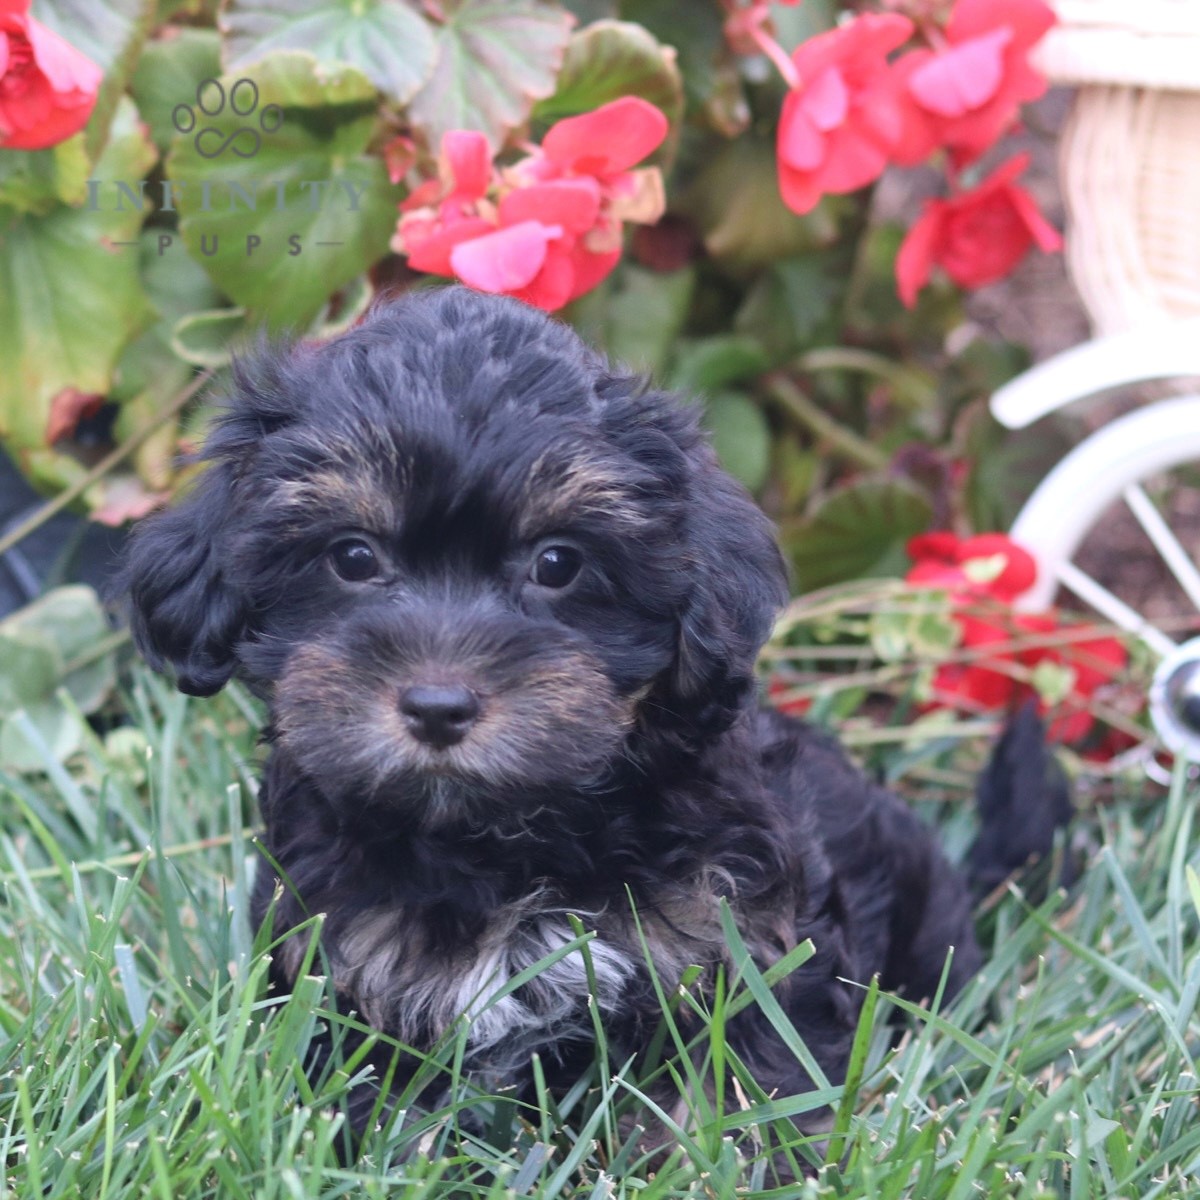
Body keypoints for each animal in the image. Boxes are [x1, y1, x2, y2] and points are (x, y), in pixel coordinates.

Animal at [119, 290, 1060, 1132]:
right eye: (351, 557)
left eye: (558, 563)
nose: (438, 706)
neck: (506, 838)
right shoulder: (350, 972)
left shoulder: (738, 944)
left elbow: (740, 1090)